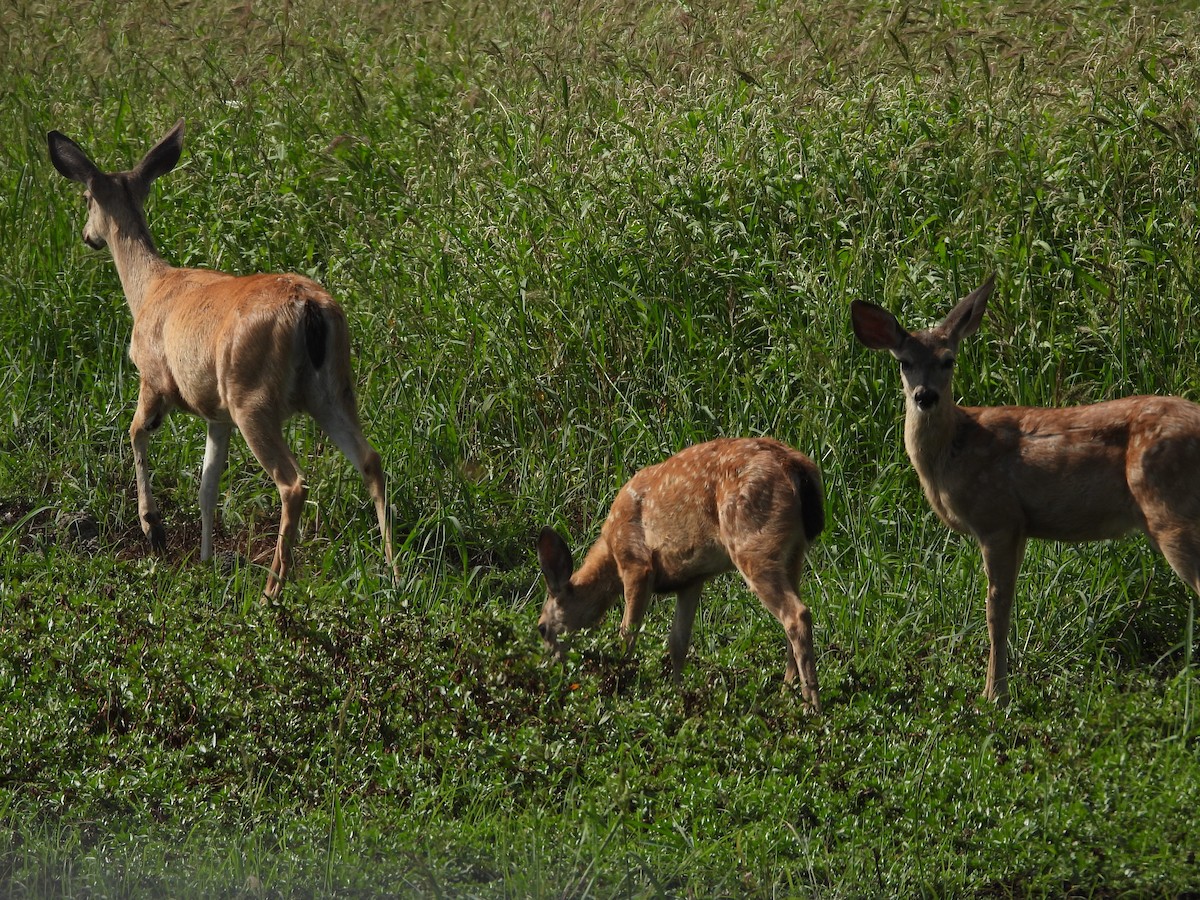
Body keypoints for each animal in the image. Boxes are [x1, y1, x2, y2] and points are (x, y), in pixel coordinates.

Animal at [47, 119, 396, 598]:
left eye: (85, 198)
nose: (87, 236)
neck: (149, 289)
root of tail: (309, 307)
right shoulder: (216, 414)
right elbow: (207, 485)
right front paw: (207, 560)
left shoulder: (153, 378)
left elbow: (135, 432)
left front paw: (153, 528)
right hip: (333, 389)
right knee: (371, 459)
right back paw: (393, 572)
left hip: (253, 398)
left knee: (293, 482)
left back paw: (272, 589)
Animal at [535, 437, 825, 711]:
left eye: (542, 628)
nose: (548, 671)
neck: (610, 552)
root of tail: (794, 467)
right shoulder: (691, 579)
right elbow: (677, 641)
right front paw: (678, 694)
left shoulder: (636, 564)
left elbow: (627, 631)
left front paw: (617, 685)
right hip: (793, 554)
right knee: (791, 617)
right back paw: (787, 694)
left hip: (752, 541)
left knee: (796, 614)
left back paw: (810, 704)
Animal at [851, 274, 1200, 705]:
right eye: (904, 362)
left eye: (949, 360)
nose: (925, 396)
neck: (956, 448)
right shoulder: (1019, 527)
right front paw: (1000, 686)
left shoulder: (997, 516)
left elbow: (995, 608)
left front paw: (994, 694)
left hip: (1171, 508)